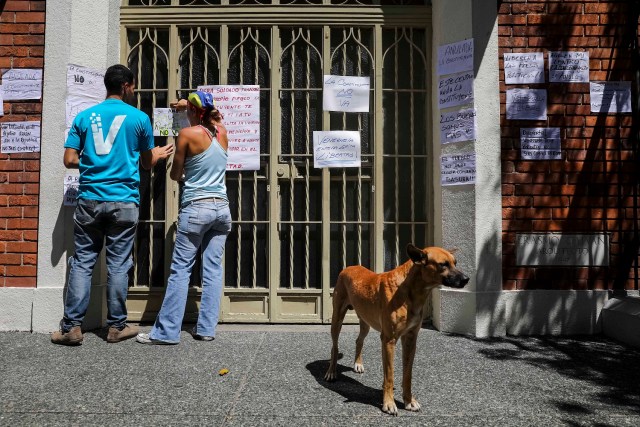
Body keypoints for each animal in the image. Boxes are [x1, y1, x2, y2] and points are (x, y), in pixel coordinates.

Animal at [324, 246, 470, 416]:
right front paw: (388, 403)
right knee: (334, 346)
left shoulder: (411, 339)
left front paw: (409, 400)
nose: (466, 279)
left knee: (359, 340)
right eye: (443, 264)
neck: (411, 291)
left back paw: (358, 364)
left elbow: (407, 375)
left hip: (366, 321)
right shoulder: (389, 340)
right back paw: (331, 372)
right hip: (337, 318)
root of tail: (349, 267)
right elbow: (389, 375)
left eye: (455, 263)